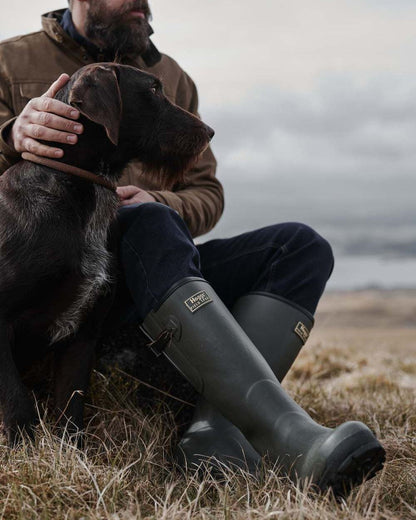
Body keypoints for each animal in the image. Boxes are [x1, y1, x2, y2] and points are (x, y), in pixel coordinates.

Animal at [0, 61, 214, 442]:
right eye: (154, 90)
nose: (210, 131)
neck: (77, 184)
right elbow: (16, 402)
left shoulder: (83, 334)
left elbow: (71, 410)